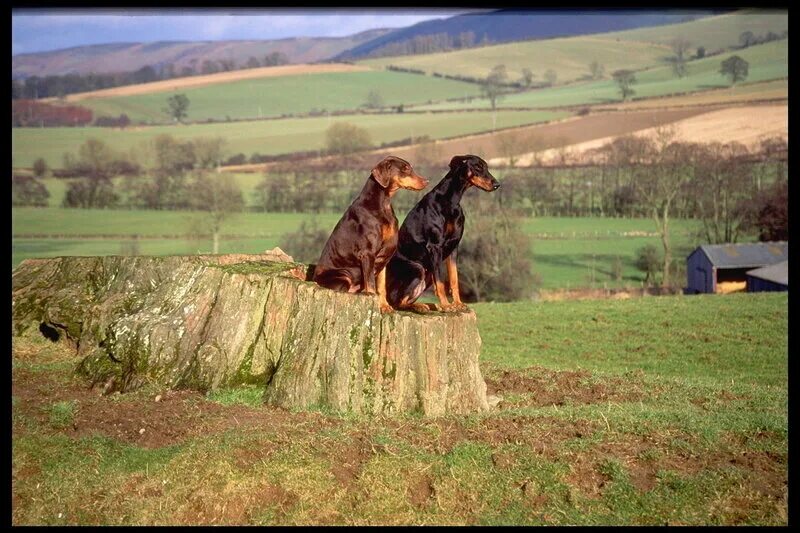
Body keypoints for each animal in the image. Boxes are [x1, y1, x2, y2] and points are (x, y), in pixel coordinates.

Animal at [312, 154, 428, 312]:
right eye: (405, 169)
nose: (426, 181)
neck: (383, 204)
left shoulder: (383, 258)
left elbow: (381, 287)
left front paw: (384, 307)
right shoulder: (368, 254)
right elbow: (371, 286)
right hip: (343, 276)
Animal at [384, 154, 496, 312]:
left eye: (486, 167)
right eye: (477, 167)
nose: (497, 184)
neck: (451, 201)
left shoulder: (454, 247)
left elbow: (454, 279)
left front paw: (458, 304)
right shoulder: (435, 247)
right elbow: (441, 282)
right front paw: (446, 305)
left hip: (427, 274)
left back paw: (429, 305)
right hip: (417, 268)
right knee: (397, 302)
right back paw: (422, 306)